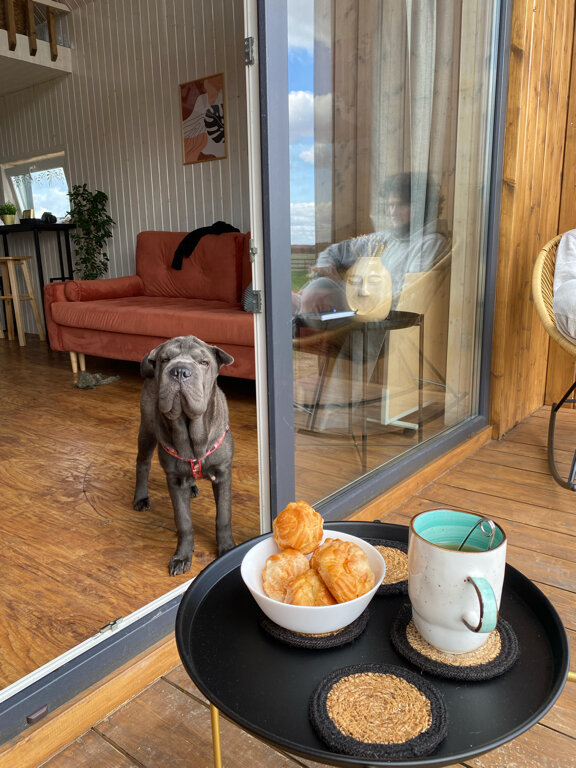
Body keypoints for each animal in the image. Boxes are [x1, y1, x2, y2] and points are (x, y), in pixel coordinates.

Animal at [133, 335, 235, 575]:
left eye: (204, 363)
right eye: (165, 359)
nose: (180, 371)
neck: (192, 436)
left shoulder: (223, 474)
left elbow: (223, 516)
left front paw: (227, 549)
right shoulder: (175, 480)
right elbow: (184, 521)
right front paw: (182, 556)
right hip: (147, 430)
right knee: (142, 463)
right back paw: (140, 497)